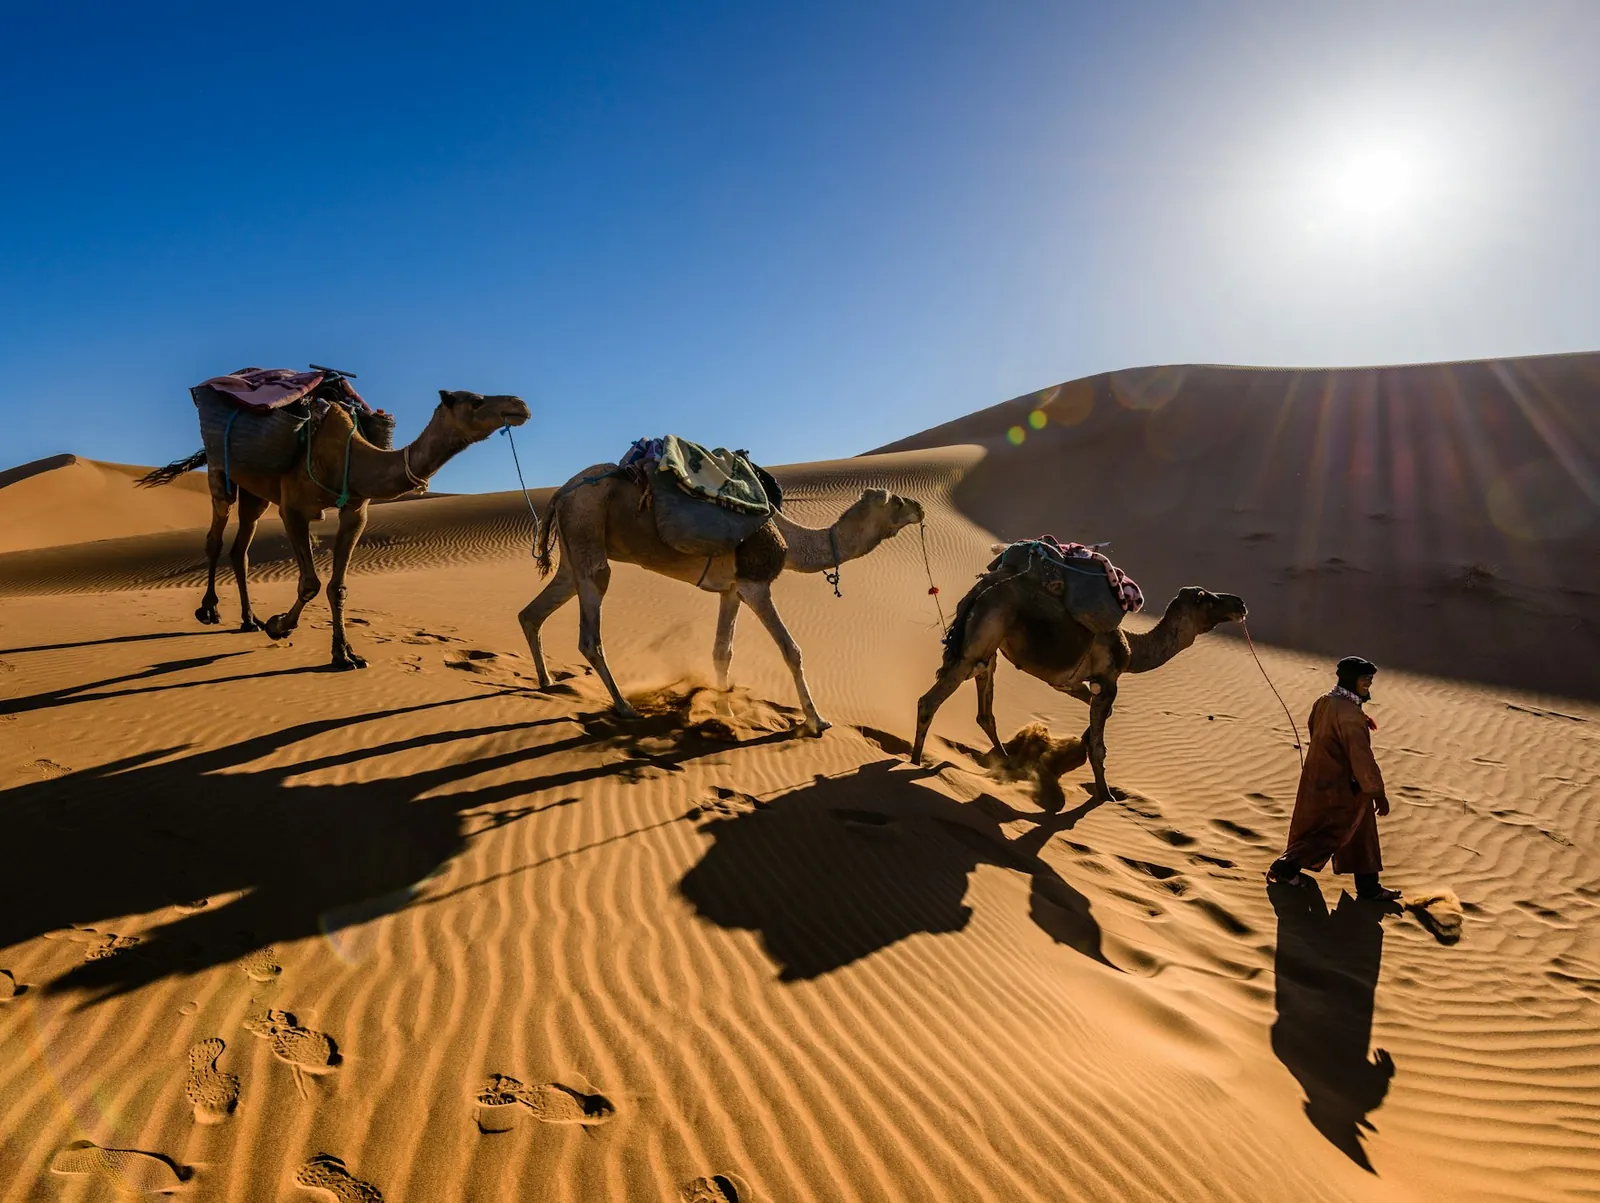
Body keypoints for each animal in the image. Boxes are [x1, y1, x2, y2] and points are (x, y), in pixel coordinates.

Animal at [139, 390, 530, 669]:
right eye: (476, 400)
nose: (520, 404)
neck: (348, 456)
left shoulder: (355, 510)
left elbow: (337, 586)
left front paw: (344, 654)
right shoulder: (293, 508)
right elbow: (310, 582)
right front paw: (279, 626)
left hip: (255, 493)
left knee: (241, 549)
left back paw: (249, 620)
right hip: (221, 472)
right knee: (215, 538)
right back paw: (209, 610)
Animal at [520, 465, 924, 734]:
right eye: (895, 501)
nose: (919, 507)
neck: (791, 540)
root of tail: (560, 493)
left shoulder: (732, 590)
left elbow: (722, 652)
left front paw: (725, 712)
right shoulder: (755, 583)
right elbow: (791, 649)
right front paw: (816, 720)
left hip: (573, 549)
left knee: (534, 611)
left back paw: (547, 682)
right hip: (587, 524)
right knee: (590, 628)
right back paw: (624, 707)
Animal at [912, 570, 1247, 799]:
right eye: (1207, 599)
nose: (1240, 603)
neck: (1132, 650)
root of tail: (980, 590)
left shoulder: (1072, 683)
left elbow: (1098, 717)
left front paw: (1079, 747)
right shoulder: (1108, 683)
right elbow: (1100, 747)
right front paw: (1106, 796)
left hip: (988, 648)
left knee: (985, 709)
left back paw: (1007, 763)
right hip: (979, 640)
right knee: (930, 701)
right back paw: (914, 762)